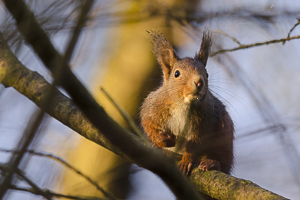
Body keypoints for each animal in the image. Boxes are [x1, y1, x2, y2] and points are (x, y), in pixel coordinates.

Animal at [141, 30, 234, 175]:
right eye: (176, 73)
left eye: (207, 74)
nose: (199, 82)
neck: (183, 105)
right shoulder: (153, 107)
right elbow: (148, 124)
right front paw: (161, 140)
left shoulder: (205, 124)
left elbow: (195, 145)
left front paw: (186, 161)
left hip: (224, 136)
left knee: (223, 160)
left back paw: (212, 163)